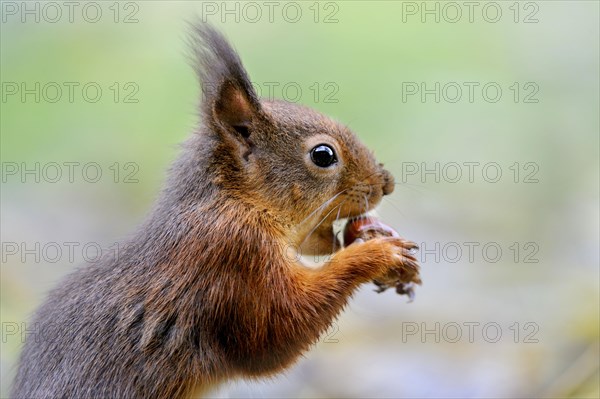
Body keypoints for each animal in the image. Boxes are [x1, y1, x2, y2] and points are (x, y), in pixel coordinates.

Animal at [11, 25, 420, 399]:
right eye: (323, 155)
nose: (386, 184)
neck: (233, 201)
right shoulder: (234, 255)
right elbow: (273, 335)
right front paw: (378, 253)